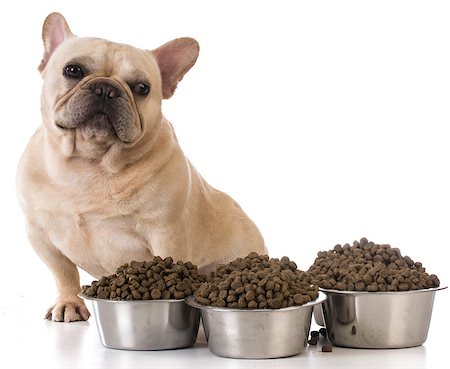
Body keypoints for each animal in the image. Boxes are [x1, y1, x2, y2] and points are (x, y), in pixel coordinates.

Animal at [16, 12, 264, 320]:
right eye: (72, 70)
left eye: (142, 88)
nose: (105, 88)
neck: (91, 162)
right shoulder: (40, 233)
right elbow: (63, 272)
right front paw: (69, 302)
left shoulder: (166, 233)